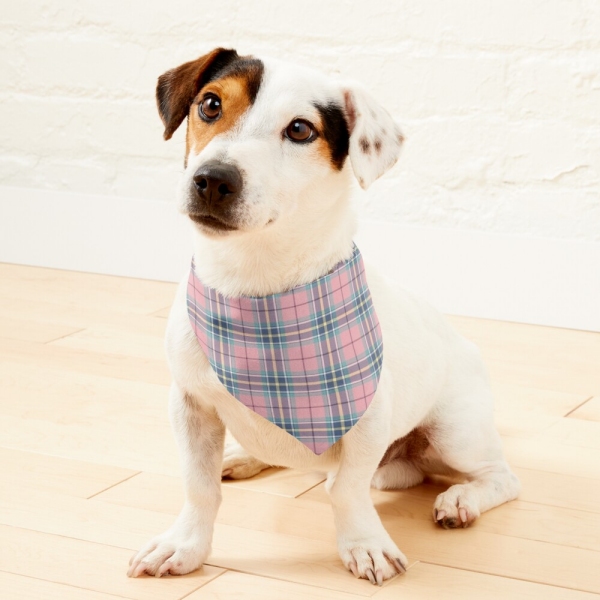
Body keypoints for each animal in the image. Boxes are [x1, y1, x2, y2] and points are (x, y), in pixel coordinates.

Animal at [127, 48, 520, 584]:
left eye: (299, 130)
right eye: (210, 104)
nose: (212, 179)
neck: (256, 284)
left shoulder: (367, 419)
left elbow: (347, 490)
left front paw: (365, 544)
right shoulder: (190, 405)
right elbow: (199, 486)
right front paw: (185, 545)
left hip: (456, 432)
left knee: (500, 477)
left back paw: (461, 499)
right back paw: (244, 456)